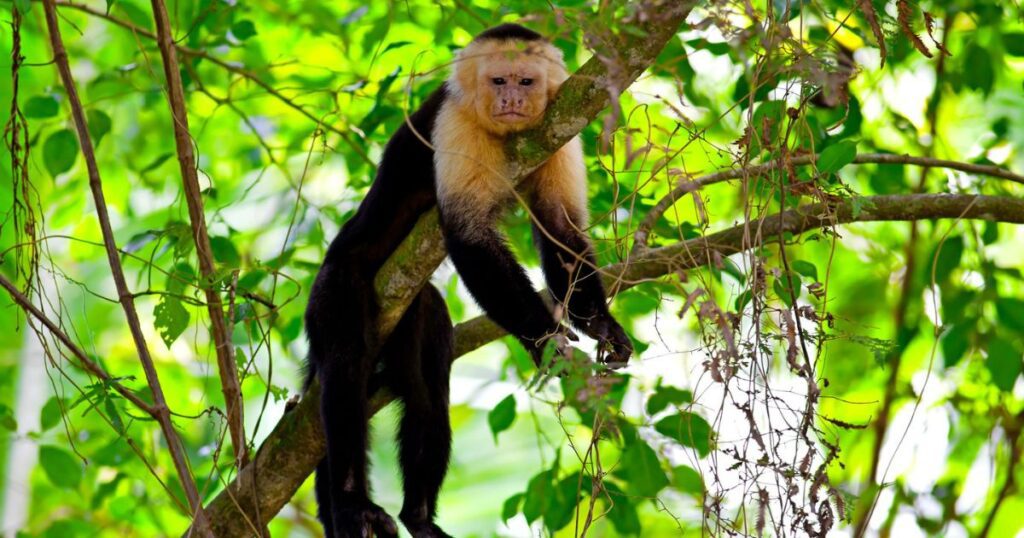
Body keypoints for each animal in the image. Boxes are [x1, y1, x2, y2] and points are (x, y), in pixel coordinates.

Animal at [301, 24, 630, 536]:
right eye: (498, 81)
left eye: (526, 81)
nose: (512, 99)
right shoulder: (453, 121)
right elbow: (468, 234)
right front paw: (545, 339)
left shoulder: (559, 129)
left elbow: (559, 228)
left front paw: (600, 322)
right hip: (334, 287)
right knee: (344, 365)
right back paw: (352, 502)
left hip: (417, 308)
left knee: (427, 385)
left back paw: (417, 515)